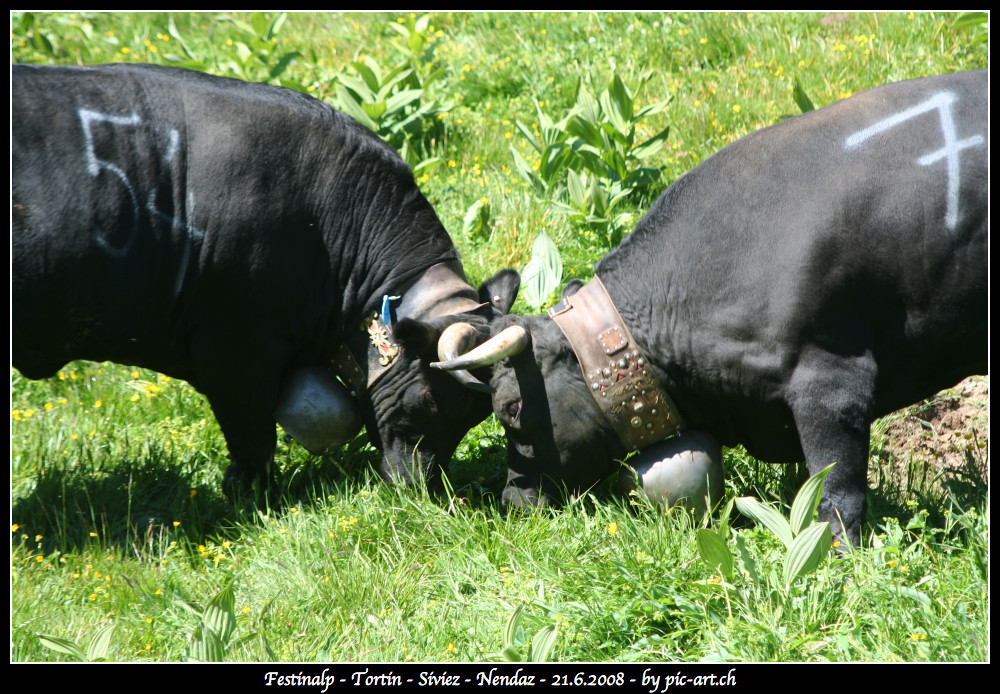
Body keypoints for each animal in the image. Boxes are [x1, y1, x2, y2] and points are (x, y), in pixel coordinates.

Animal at [11, 64, 520, 494]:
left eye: (476, 416)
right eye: (432, 399)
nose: (421, 487)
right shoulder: (235, 351)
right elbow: (252, 436)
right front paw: (249, 496)